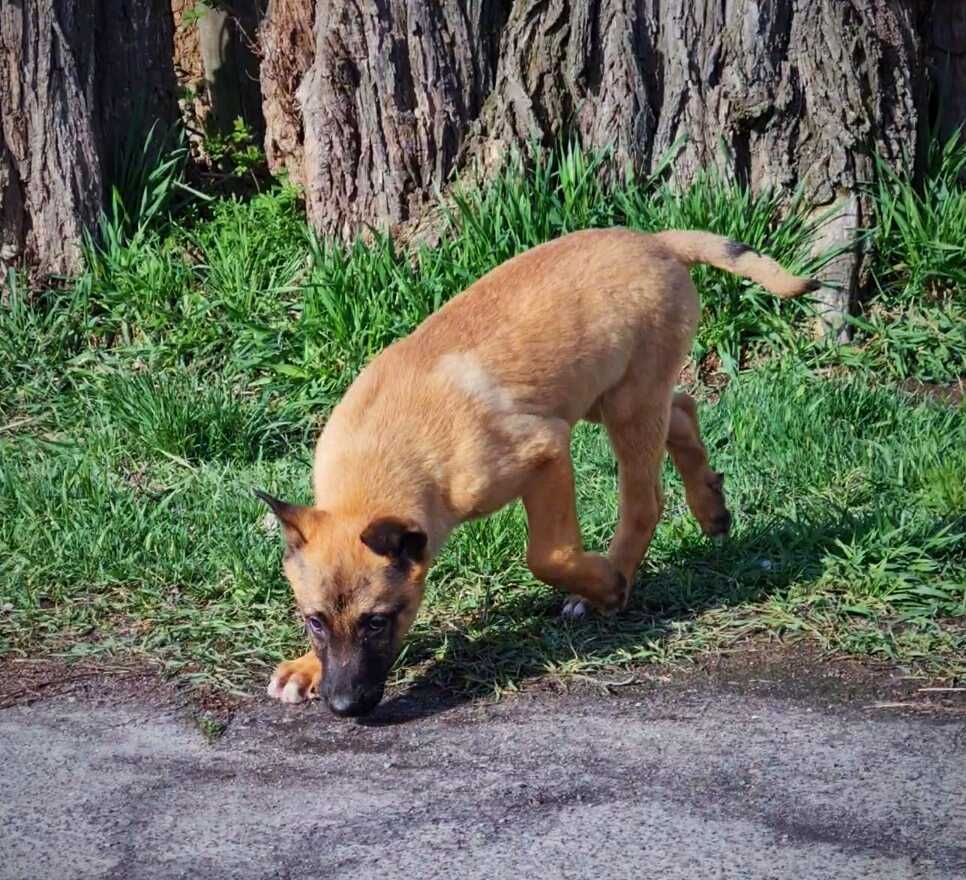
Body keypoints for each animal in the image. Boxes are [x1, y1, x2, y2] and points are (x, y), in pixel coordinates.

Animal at [258, 227, 816, 716]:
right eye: (314, 622)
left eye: (377, 622)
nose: (344, 708)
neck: (384, 460)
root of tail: (655, 241)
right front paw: (306, 667)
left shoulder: (545, 454)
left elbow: (546, 554)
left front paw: (603, 584)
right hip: (604, 397)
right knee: (682, 410)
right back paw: (710, 507)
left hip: (624, 406)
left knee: (645, 500)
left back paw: (608, 586)